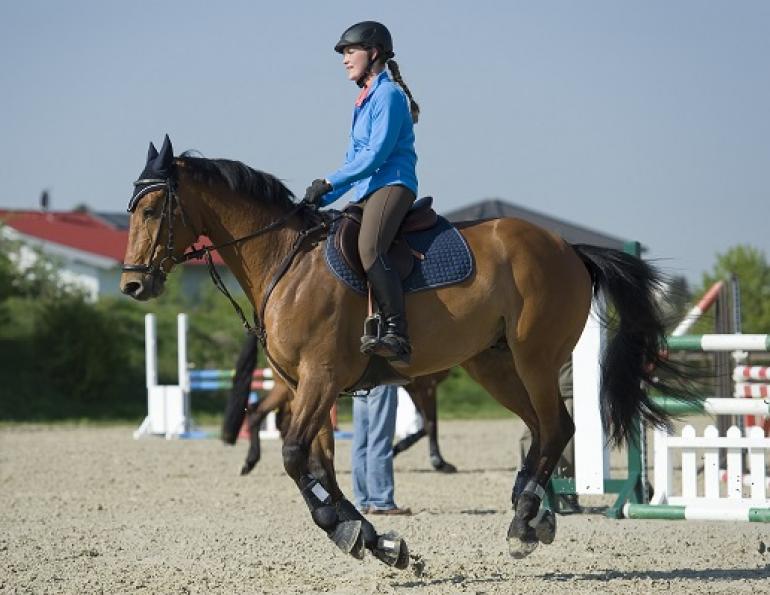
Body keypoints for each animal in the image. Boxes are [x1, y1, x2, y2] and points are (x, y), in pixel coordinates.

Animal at [121, 135, 690, 567]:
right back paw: (532, 512)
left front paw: (351, 531)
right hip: (494, 364)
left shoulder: (321, 378)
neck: (286, 261)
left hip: (533, 357)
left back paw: (526, 519)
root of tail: (568, 247)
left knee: (555, 427)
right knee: (544, 430)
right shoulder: (307, 386)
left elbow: (295, 456)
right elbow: (319, 465)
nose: (132, 285)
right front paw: (372, 540)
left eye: (150, 209)